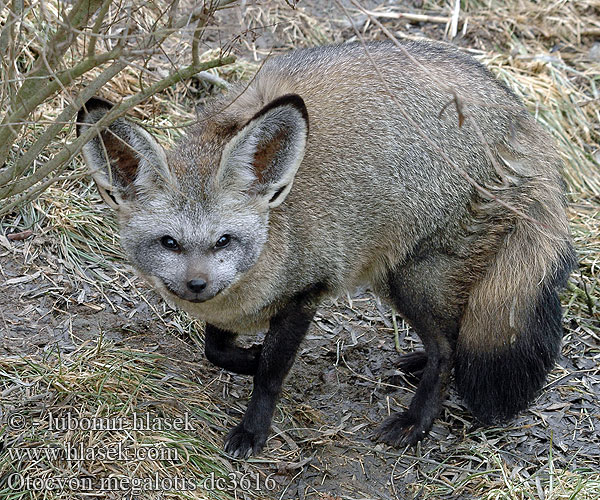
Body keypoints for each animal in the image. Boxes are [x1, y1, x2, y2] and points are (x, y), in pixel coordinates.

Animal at [77, 41, 576, 458]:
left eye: (224, 240)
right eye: (169, 242)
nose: (196, 284)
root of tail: (523, 117)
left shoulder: (306, 294)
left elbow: (270, 375)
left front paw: (254, 429)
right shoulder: (228, 311)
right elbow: (216, 351)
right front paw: (247, 357)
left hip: (413, 278)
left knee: (448, 350)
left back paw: (417, 421)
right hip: (399, 278)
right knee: (449, 339)